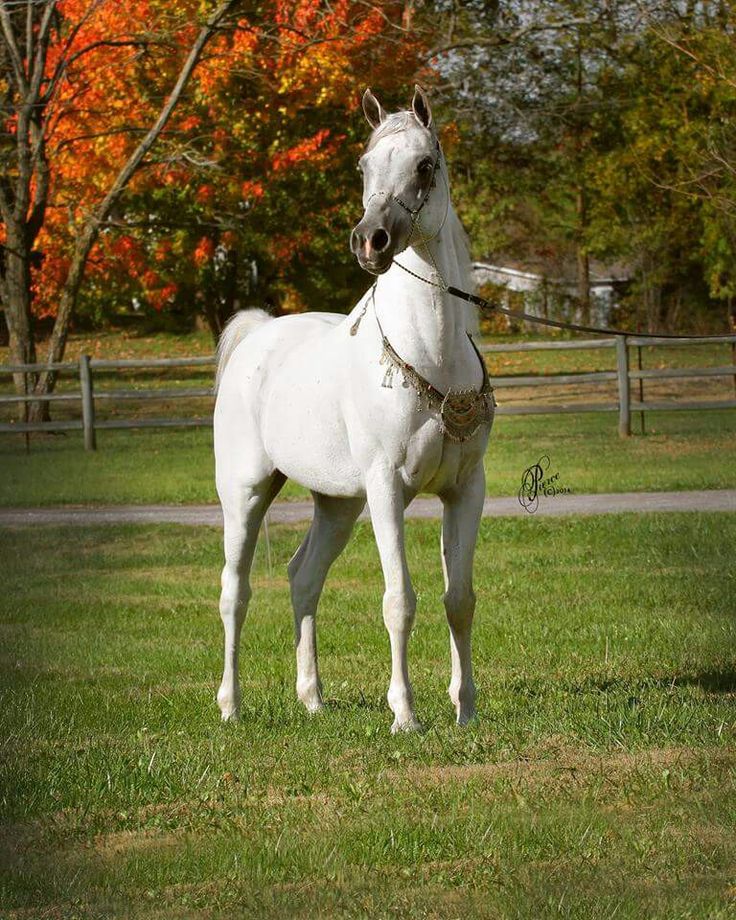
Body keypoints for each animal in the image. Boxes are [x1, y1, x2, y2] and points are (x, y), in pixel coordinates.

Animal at [213, 86, 495, 732]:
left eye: (425, 165)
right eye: (364, 167)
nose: (370, 241)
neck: (434, 353)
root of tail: (258, 334)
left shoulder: (466, 489)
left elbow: (460, 600)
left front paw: (465, 709)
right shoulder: (387, 488)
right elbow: (399, 601)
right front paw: (405, 715)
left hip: (338, 504)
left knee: (303, 578)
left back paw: (312, 699)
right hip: (245, 492)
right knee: (235, 591)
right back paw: (231, 705)